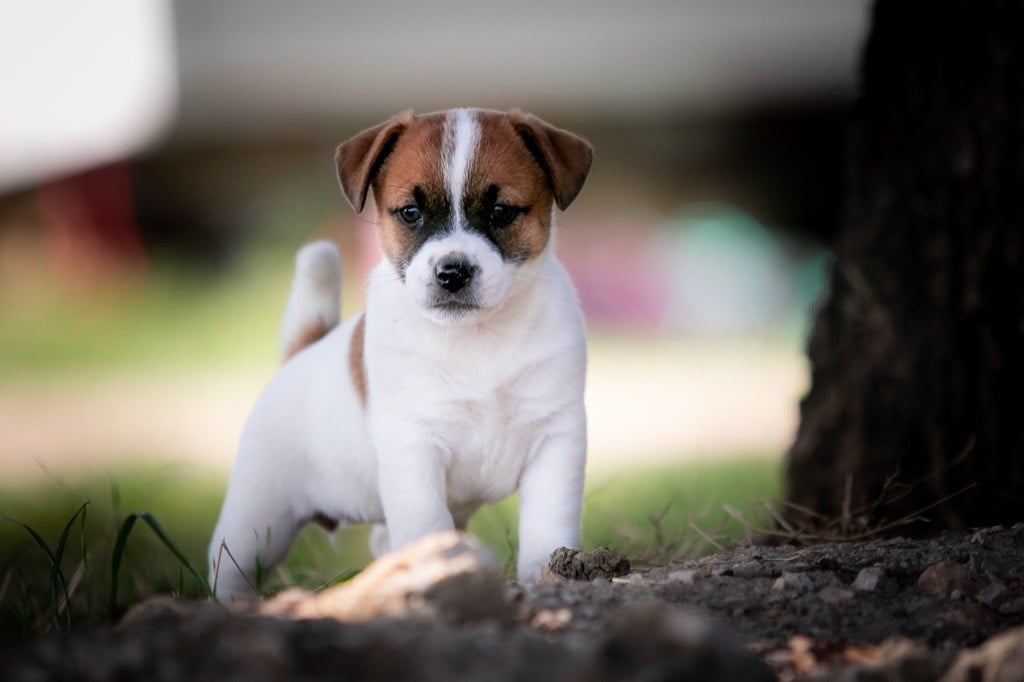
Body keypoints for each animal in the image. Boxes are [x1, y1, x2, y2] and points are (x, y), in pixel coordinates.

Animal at [205, 106, 593, 593]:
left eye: (501, 211)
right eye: (410, 213)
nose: (452, 272)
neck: (477, 338)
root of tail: (301, 351)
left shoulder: (555, 439)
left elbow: (548, 522)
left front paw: (548, 574)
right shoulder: (414, 450)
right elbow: (426, 523)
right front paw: (438, 573)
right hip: (259, 515)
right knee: (227, 563)